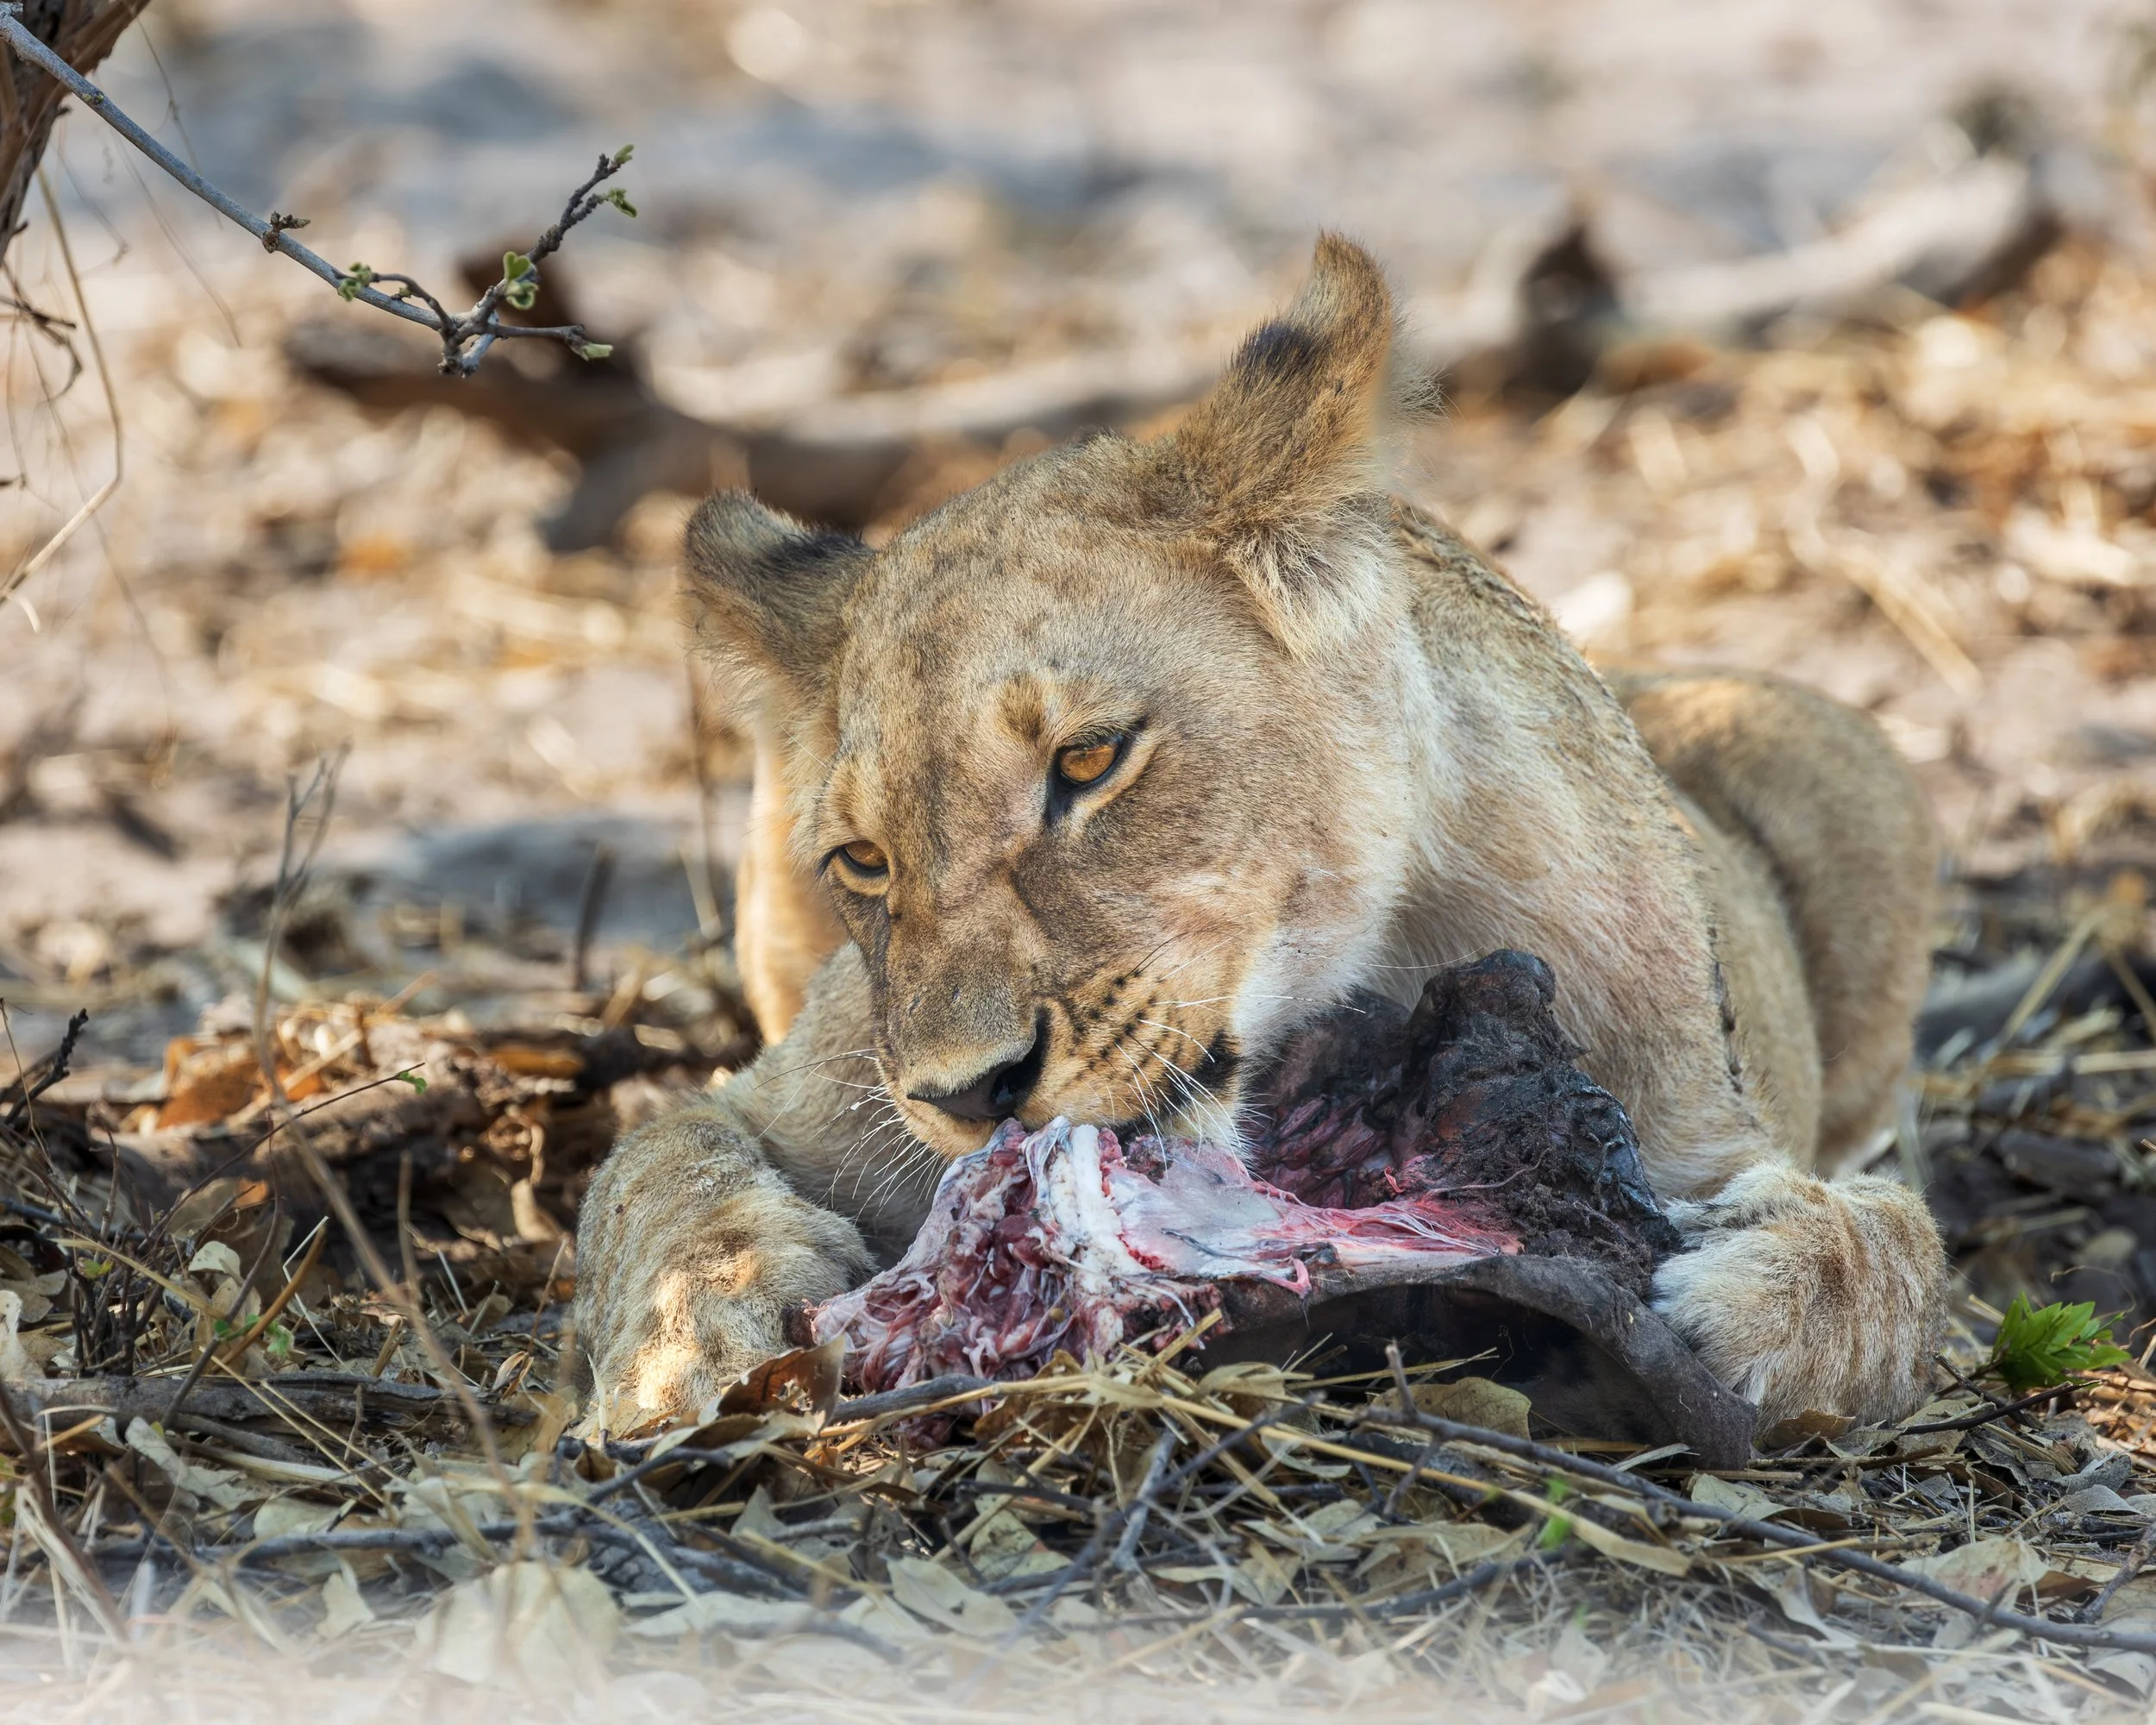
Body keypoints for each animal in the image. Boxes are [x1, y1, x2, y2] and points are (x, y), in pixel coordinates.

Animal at [573, 234, 1947, 1435]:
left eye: (1088, 759)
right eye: (864, 859)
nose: (968, 1097)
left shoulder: (1702, 1132)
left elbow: (1907, 1247)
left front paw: (1760, 1300)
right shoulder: (773, 1101)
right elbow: (654, 1173)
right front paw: (689, 1349)